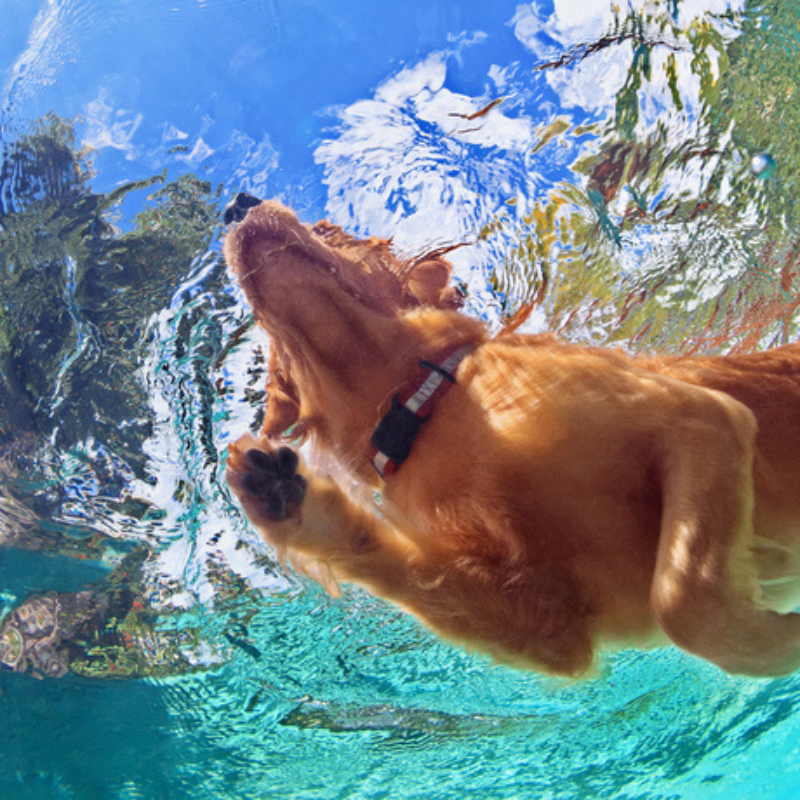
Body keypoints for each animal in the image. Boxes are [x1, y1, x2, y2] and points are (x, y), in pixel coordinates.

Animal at [222, 194, 800, 676]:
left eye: (330, 230)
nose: (237, 203)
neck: (422, 407)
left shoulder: (702, 418)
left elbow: (684, 600)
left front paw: (782, 644)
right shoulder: (553, 626)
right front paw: (295, 509)